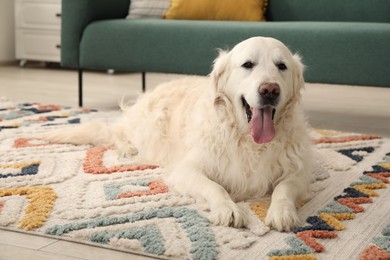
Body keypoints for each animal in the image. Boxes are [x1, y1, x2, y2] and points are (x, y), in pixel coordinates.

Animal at [42, 36, 310, 232]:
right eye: (248, 65)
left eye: (282, 66)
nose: (270, 90)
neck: (248, 140)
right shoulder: (187, 170)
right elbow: (215, 187)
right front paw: (228, 209)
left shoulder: (300, 170)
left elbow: (284, 188)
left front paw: (282, 212)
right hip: (149, 127)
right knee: (118, 132)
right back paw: (127, 147)